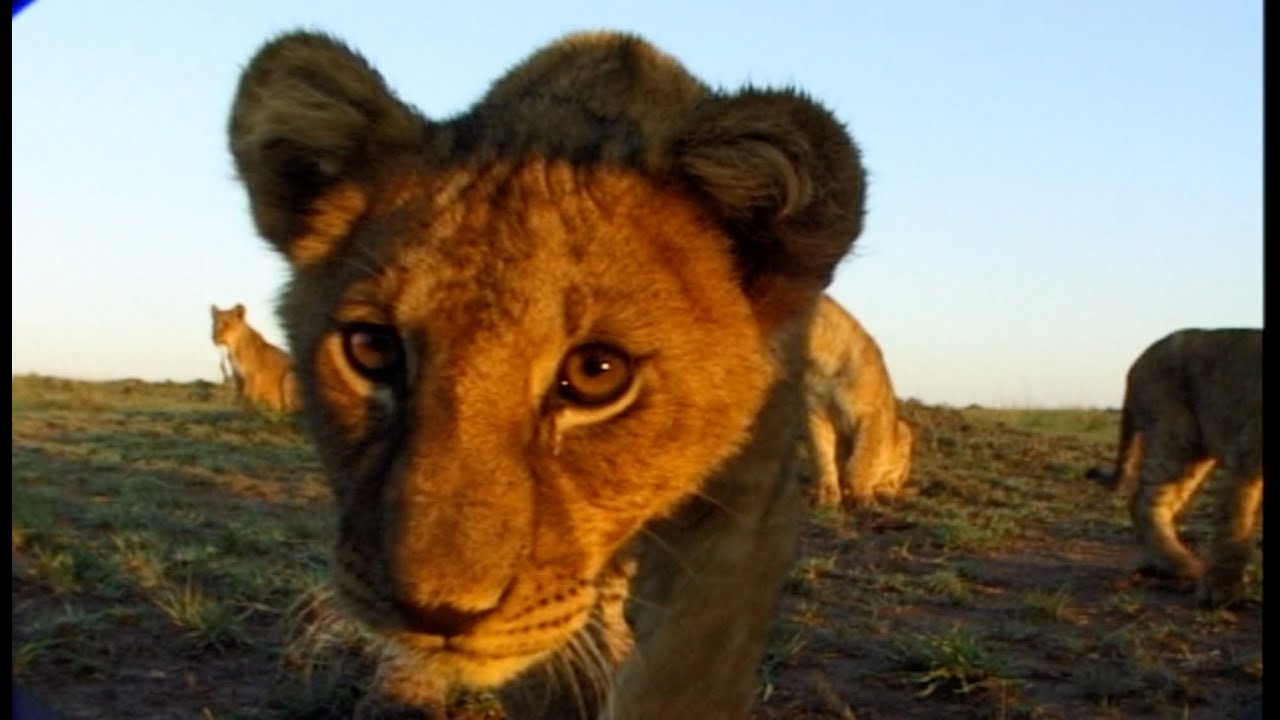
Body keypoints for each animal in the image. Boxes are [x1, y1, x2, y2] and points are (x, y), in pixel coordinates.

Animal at [805, 294, 914, 509]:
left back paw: (889, 495)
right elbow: (823, 457)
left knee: (889, 483)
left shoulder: (873, 414)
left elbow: (861, 460)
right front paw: (826, 495)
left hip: (904, 429)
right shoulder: (815, 414)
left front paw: (861, 497)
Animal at [1086, 328, 1262, 608]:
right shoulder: (1249, 450)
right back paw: (1180, 563)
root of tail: (1139, 359)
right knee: (1143, 500)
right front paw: (1222, 590)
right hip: (1177, 433)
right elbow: (1237, 518)